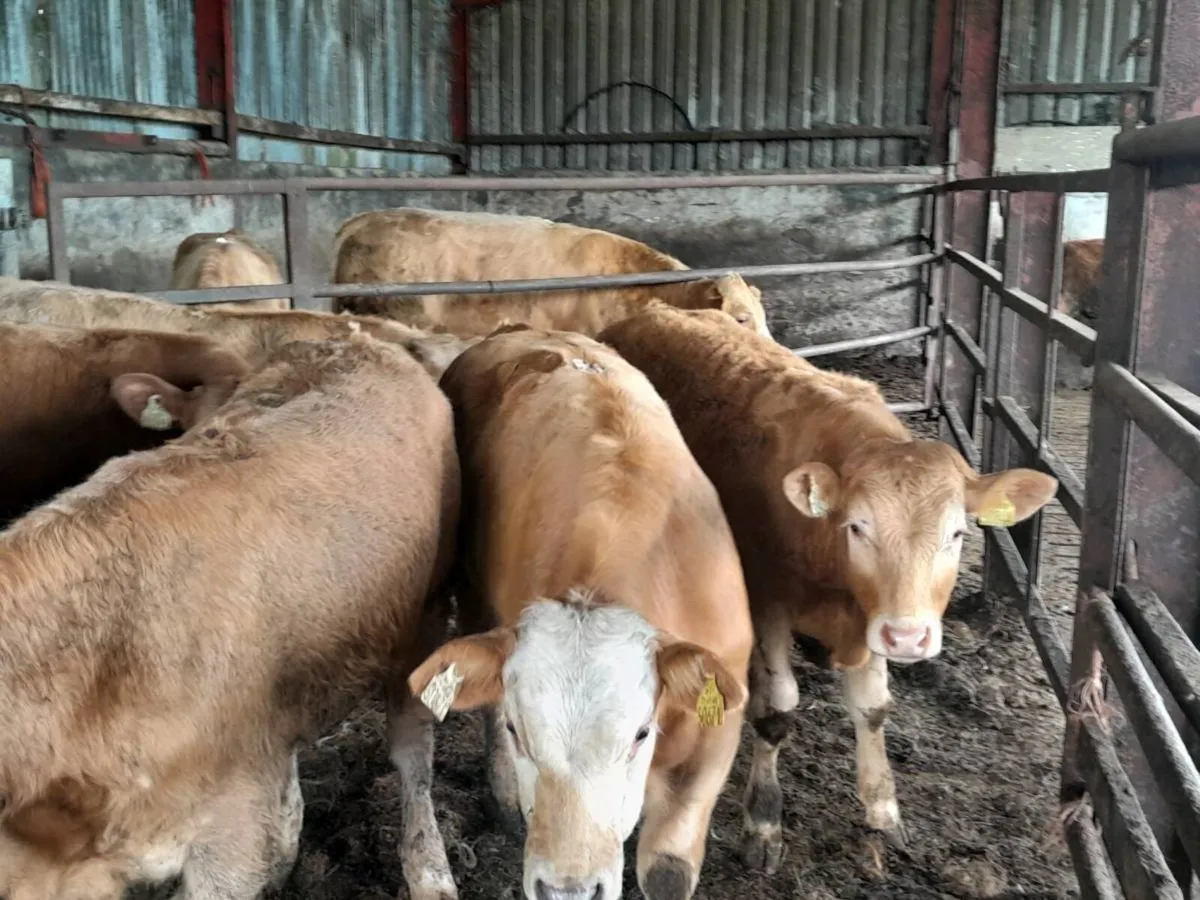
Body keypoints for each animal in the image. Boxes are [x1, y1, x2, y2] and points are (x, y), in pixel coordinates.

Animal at [407, 325, 753, 900]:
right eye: (519, 731)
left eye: (640, 734)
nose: (567, 888)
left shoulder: (712, 742)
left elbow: (667, 871)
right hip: (473, 589)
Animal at [598, 304, 1059, 873]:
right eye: (858, 527)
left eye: (957, 534)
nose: (909, 637)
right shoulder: (767, 601)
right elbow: (777, 709)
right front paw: (764, 822)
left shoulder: (871, 615)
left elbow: (874, 706)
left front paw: (883, 809)